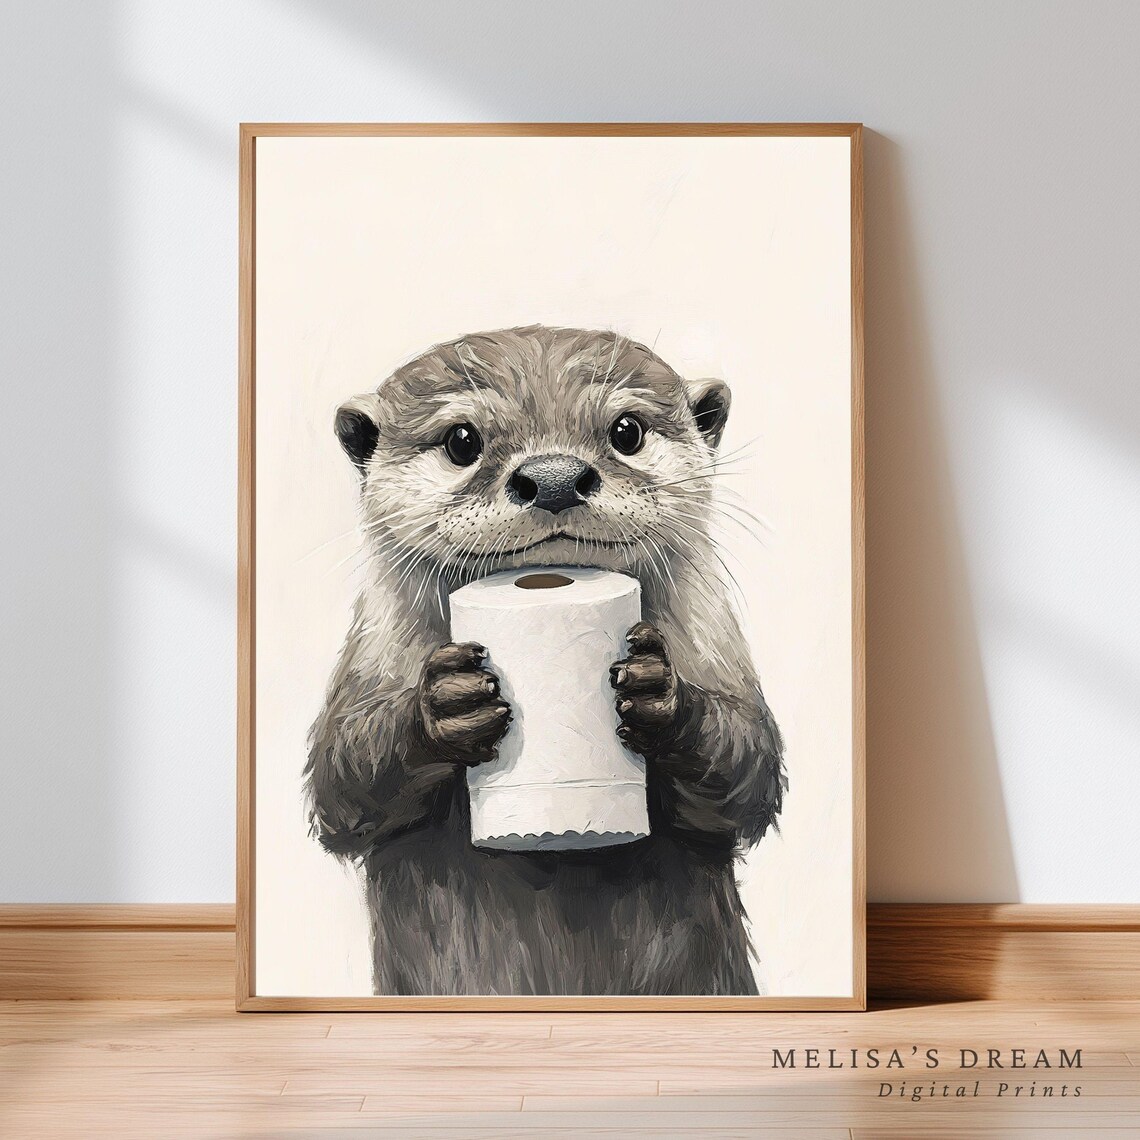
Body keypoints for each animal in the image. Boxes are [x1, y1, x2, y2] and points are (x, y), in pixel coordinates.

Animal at [305, 325, 786, 995]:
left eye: (627, 430)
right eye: (462, 440)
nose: (554, 477)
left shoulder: (718, 646)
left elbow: (750, 774)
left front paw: (658, 697)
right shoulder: (367, 659)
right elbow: (341, 784)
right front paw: (448, 705)